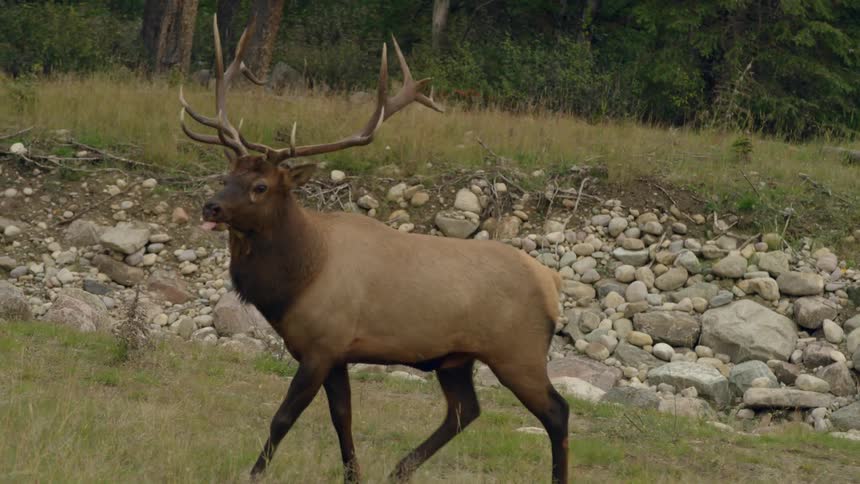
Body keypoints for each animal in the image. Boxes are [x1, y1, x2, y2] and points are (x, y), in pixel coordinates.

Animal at [178, 15, 569, 484]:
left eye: (260, 186)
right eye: (228, 174)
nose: (211, 206)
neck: (297, 280)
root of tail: (552, 281)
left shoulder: (323, 344)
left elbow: (283, 418)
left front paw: (254, 473)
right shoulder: (336, 353)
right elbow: (342, 417)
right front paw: (354, 475)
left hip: (518, 351)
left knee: (556, 412)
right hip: (455, 358)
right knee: (464, 410)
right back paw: (400, 468)